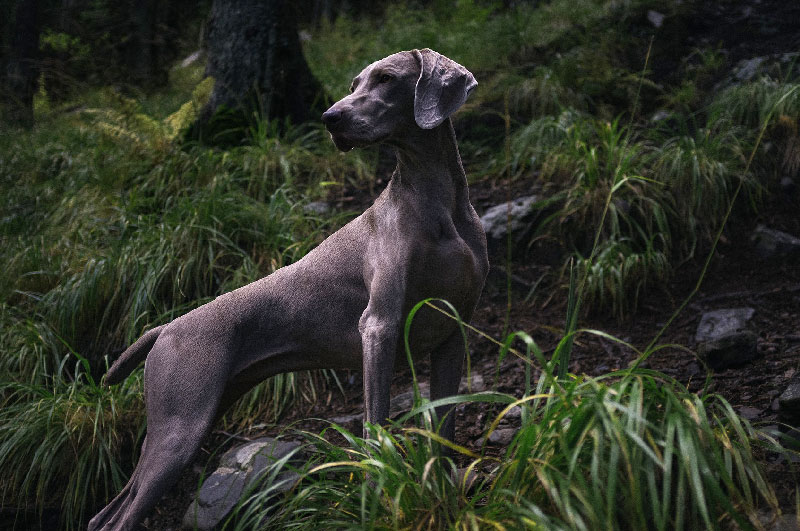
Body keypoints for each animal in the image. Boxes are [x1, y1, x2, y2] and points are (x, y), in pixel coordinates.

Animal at [87, 47, 488, 528]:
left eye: (387, 79)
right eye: (354, 84)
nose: (330, 117)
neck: (437, 201)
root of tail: (163, 328)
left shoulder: (453, 332)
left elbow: (443, 431)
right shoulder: (379, 326)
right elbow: (376, 427)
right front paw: (379, 495)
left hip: (187, 418)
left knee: (104, 513)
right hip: (179, 428)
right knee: (119, 516)